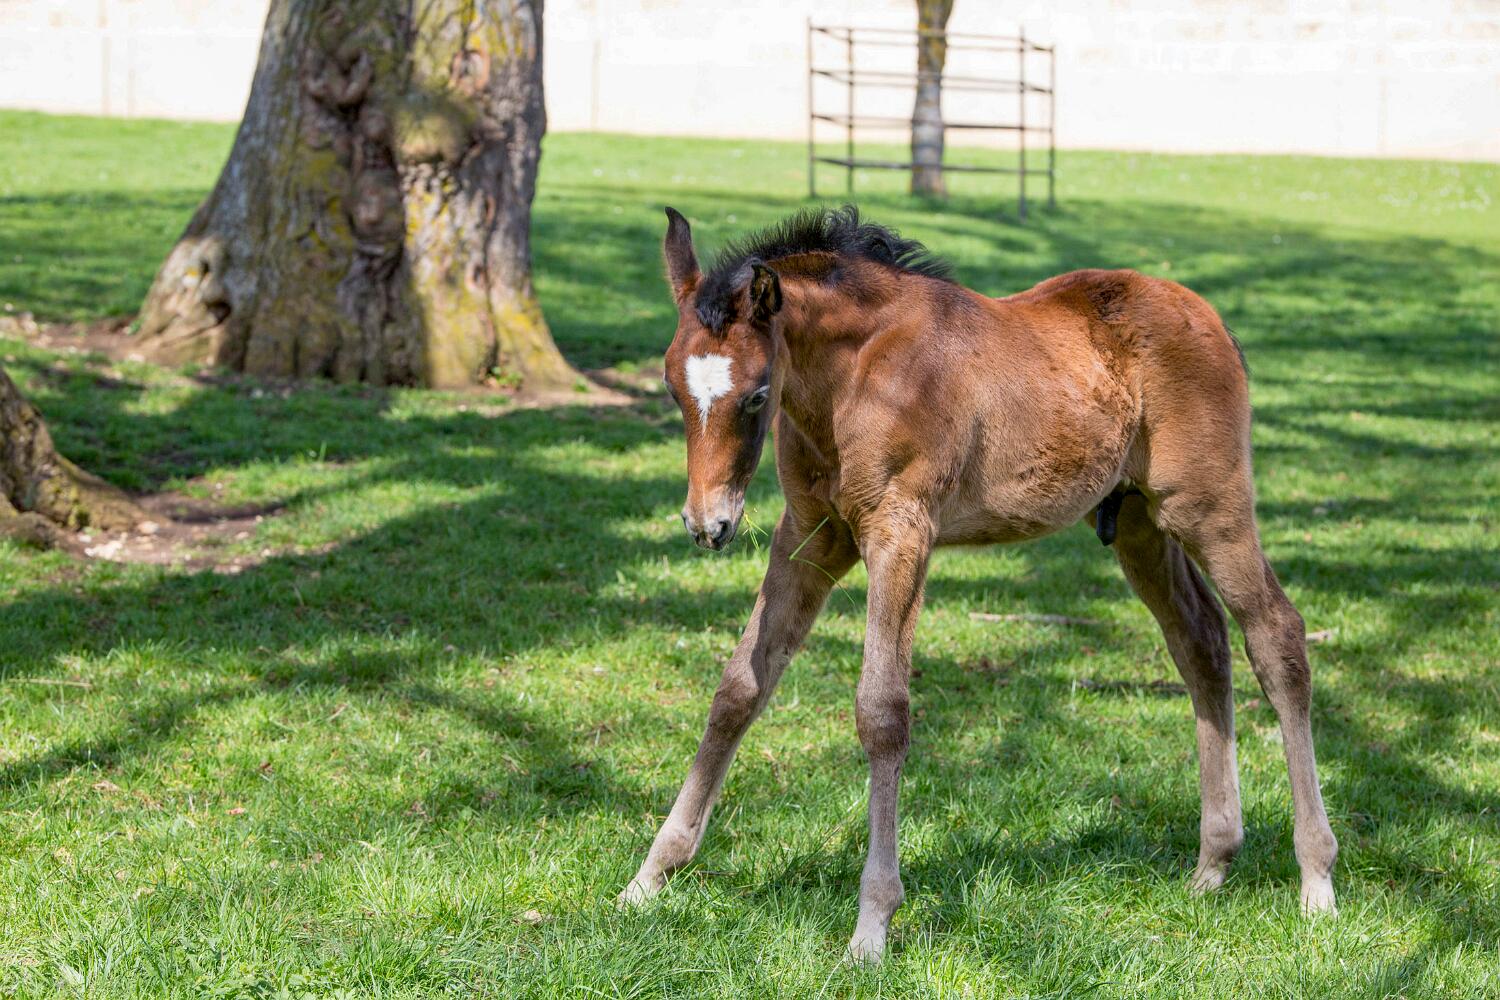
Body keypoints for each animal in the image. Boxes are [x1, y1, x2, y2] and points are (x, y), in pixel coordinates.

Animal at [620, 205, 1337, 963]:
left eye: (756, 395)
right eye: (672, 388)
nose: (709, 524)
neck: (854, 378)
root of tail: (1208, 315)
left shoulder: (901, 533)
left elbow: (882, 711)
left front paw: (872, 925)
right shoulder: (810, 537)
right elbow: (738, 690)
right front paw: (649, 878)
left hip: (1208, 508)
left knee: (1277, 635)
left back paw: (1316, 879)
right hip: (1140, 525)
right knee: (1201, 642)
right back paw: (1213, 864)